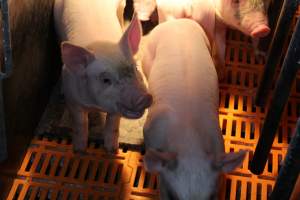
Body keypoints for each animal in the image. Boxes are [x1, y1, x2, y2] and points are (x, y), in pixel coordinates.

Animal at [53, 0, 151, 152]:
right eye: (106, 80)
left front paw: (112, 150)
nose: (143, 97)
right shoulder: (73, 100)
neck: (96, 106)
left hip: (120, 6)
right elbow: (80, 125)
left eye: (135, 68)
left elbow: (112, 125)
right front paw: (79, 151)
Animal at [134, 0, 270, 74]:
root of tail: (187, 6)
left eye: (265, 2)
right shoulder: (217, 21)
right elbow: (220, 41)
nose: (263, 29)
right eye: (235, 0)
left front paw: (261, 57)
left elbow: (255, 40)